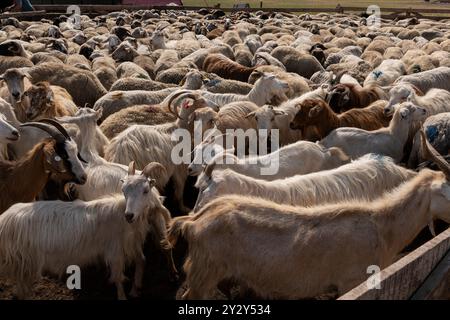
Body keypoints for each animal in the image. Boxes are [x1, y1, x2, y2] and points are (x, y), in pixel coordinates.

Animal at [0, 162, 176, 300]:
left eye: (145, 190)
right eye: (124, 190)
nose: (129, 215)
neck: (119, 214)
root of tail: (5, 218)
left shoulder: (130, 244)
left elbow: (141, 261)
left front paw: (135, 289)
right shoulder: (114, 251)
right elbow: (118, 278)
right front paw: (123, 296)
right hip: (24, 261)